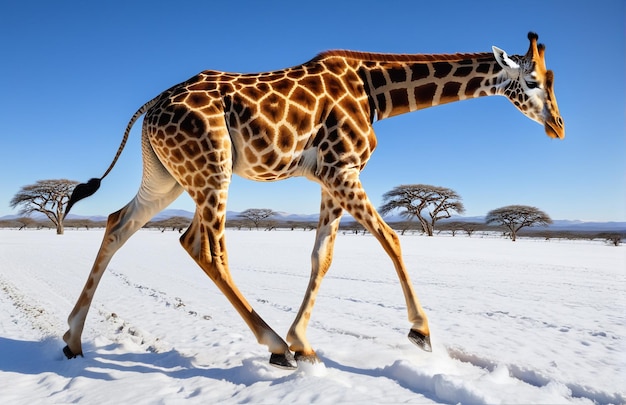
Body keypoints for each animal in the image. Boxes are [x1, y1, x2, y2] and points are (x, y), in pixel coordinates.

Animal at [62, 32, 560, 370]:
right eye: (534, 81)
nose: (558, 127)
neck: (376, 91)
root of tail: (151, 107)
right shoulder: (343, 169)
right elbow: (393, 239)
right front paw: (420, 332)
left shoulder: (330, 177)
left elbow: (323, 256)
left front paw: (303, 341)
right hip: (211, 168)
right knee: (204, 247)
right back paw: (274, 347)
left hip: (166, 176)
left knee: (118, 223)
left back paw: (72, 339)